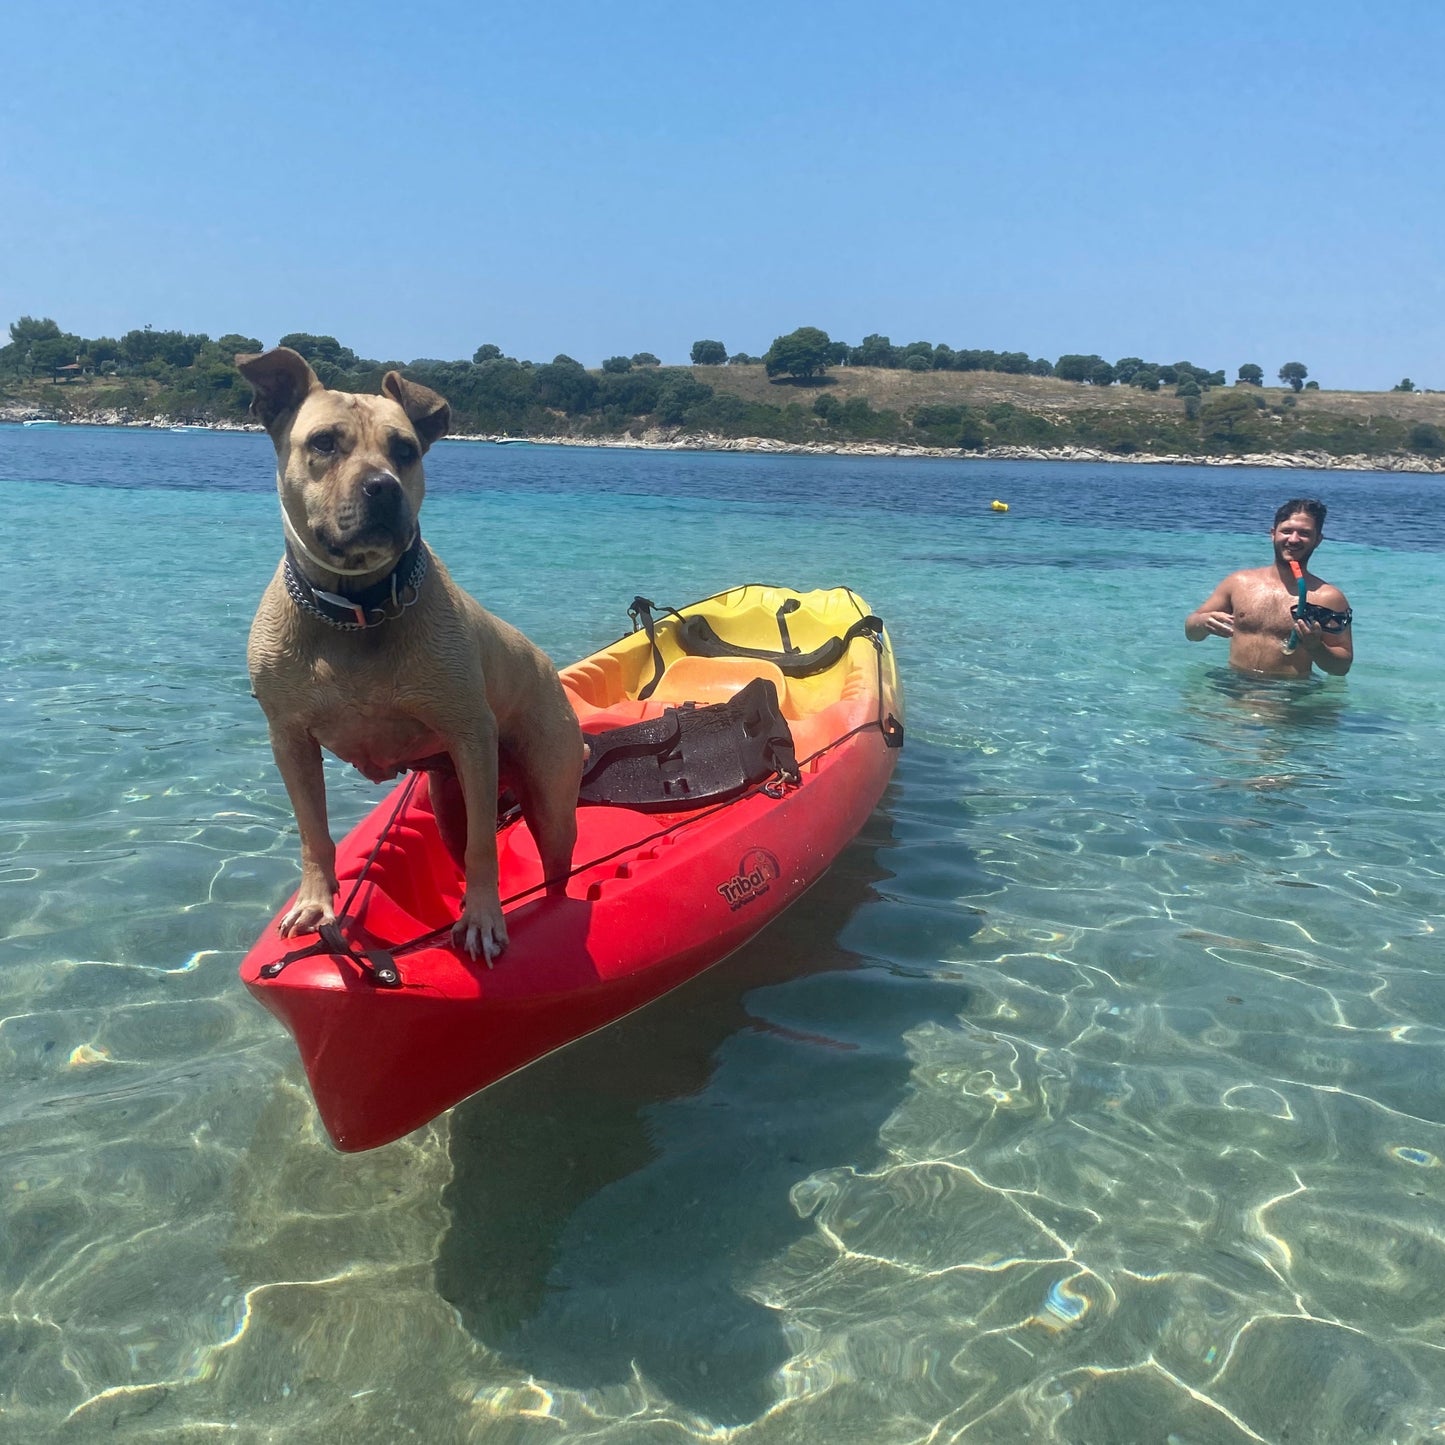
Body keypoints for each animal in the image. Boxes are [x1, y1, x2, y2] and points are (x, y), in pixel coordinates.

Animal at [236, 343, 580, 965]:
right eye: (324, 442)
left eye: (405, 450)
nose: (384, 486)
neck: (355, 610)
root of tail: (546, 663)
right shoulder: (289, 739)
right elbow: (313, 831)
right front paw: (317, 904)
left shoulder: (470, 733)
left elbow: (484, 851)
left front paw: (484, 919)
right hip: (449, 800)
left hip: (547, 791)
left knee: (550, 864)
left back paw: (545, 909)